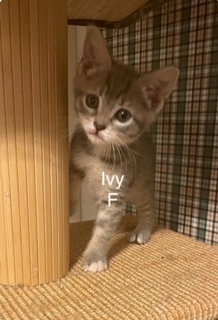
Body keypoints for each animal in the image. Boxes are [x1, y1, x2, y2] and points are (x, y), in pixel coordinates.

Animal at [70, 26, 179, 274]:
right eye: (92, 101)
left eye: (123, 115)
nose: (98, 125)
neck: (97, 154)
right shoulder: (74, 158)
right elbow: (70, 181)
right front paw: (69, 206)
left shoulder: (115, 193)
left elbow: (104, 228)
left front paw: (94, 257)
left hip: (139, 185)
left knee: (149, 206)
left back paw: (144, 229)